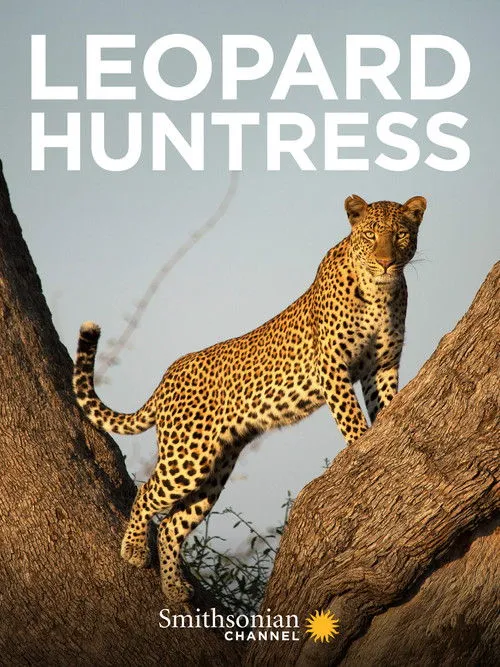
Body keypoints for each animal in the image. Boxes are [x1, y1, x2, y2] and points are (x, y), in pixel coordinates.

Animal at [73, 193, 426, 601]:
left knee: (172, 524)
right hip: (186, 456)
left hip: (215, 468)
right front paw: (360, 450)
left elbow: (384, 404)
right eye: (370, 235)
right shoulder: (333, 367)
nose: (386, 262)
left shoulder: (382, 367)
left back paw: (175, 587)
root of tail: (167, 378)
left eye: (401, 235)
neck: (379, 293)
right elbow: (351, 418)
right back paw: (133, 549)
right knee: (147, 491)